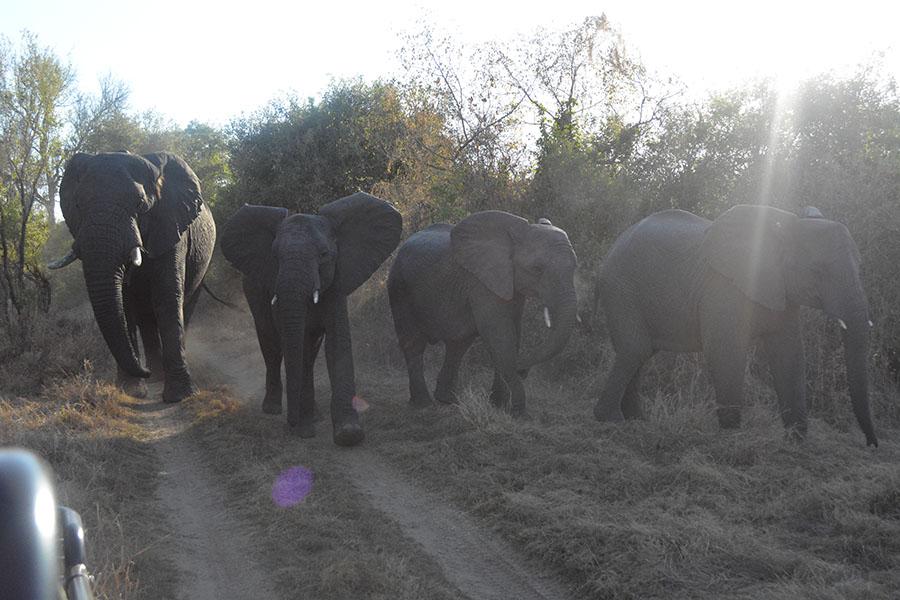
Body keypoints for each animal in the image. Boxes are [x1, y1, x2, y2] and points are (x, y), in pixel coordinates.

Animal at [49, 150, 216, 404]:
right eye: (78, 205)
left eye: (140, 205)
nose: (143, 370)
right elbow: (125, 305)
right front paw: (131, 391)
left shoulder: (170, 226)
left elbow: (167, 296)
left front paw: (179, 396)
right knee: (145, 316)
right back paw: (156, 375)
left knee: (184, 305)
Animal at [218, 192, 400, 446]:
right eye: (275, 256)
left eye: (324, 255)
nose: (292, 425)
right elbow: (297, 346)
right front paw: (305, 430)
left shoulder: (337, 283)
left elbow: (337, 343)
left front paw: (349, 434)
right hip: (253, 293)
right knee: (272, 345)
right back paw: (274, 408)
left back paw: (314, 414)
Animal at [390, 212, 580, 418]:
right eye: (537, 268)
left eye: (575, 267)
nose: (523, 370)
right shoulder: (481, 282)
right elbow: (499, 334)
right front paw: (517, 412)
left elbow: (513, 332)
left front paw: (499, 405)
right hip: (399, 287)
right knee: (414, 342)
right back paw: (423, 404)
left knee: (458, 344)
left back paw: (447, 400)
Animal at [596, 205, 876, 446]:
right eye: (817, 272)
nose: (871, 444)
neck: (786, 227)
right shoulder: (724, 290)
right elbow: (725, 352)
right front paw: (731, 434)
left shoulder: (782, 292)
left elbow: (789, 354)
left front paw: (797, 441)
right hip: (621, 287)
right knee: (635, 349)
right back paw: (610, 421)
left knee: (641, 354)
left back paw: (638, 421)